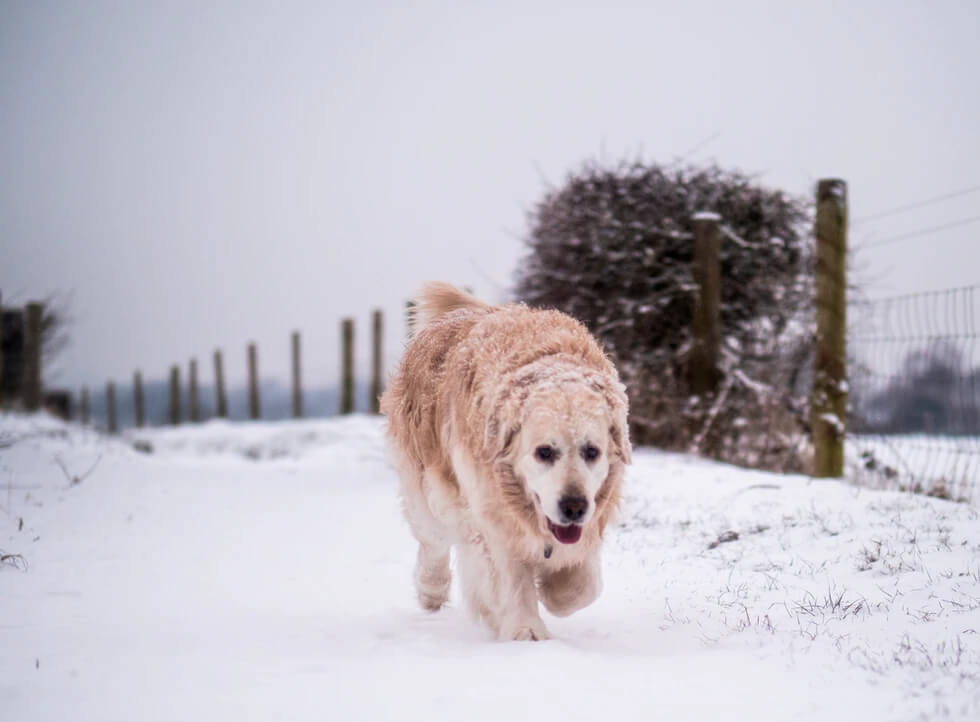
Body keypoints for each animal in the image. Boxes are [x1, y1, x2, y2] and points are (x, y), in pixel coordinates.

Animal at [378, 284, 632, 640]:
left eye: (591, 452)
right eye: (544, 452)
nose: (573, 507)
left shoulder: (593, 516)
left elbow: (583, 587)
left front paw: (555, 589)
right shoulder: (492, 516)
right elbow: (511, 579)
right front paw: (526, 630)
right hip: (427, 490)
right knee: (433, 543)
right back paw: (433, 591)